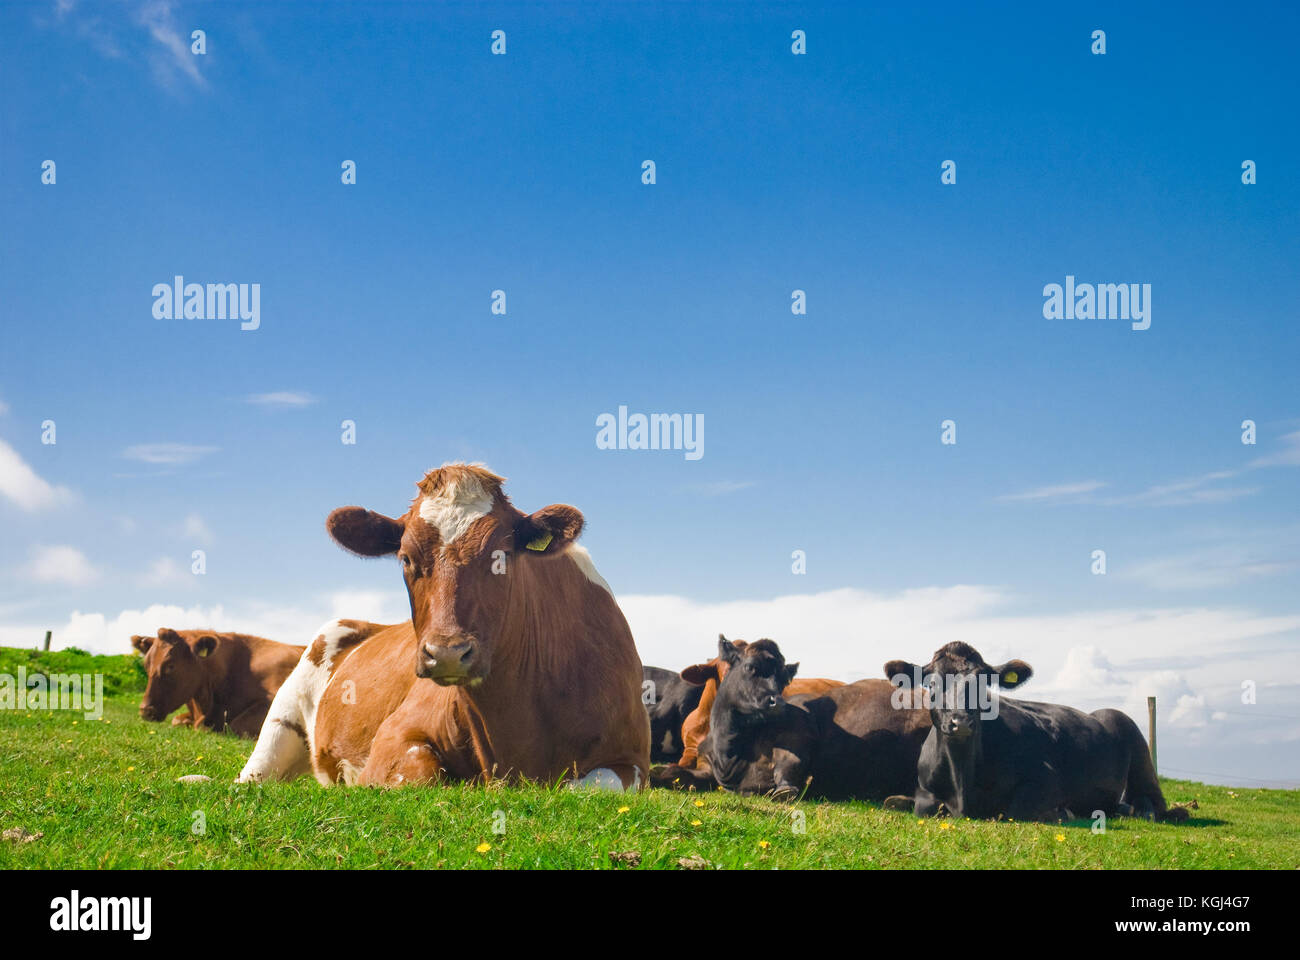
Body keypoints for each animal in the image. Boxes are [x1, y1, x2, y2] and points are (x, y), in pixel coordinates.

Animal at [237, 463, 650, 790]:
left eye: (502, 555)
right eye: (405, 557)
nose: (448, 654)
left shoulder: (633, 763)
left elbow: (579, 786)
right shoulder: (394, 735)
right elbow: (419, 773)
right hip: (283, 715)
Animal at [700, 637, 931, 800]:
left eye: (784, 679)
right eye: (750, 667)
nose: (779, 703)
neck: (730, 753)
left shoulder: (800, 728)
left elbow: (790, 764)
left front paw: (785, 790)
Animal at [883, 641, 1189, 822]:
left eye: (985, 683)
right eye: (931, 684)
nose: (961, 722)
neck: (962, 781)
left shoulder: (1046, 779)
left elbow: (1017, 809)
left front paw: (1063, 812)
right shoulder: (924, 787)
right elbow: (918, 806)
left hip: (1131, 736)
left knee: (1153, 803)